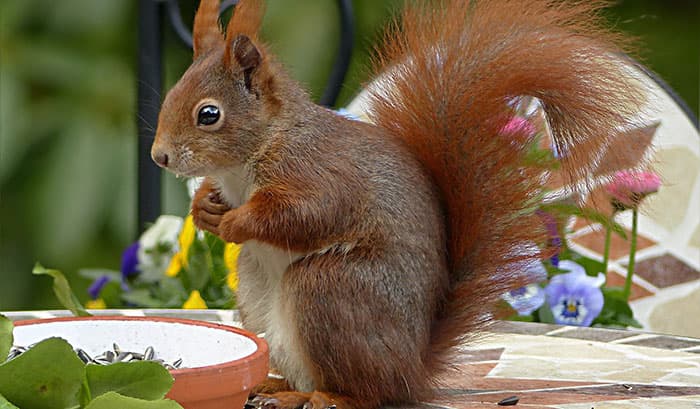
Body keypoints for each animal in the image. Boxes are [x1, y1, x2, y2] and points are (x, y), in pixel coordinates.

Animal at [151, 0, 645, 408]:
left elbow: (307, 215)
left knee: (368, 393)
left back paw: (328, 397)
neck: (252, 155)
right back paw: (277, 387)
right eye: (170, 96)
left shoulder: (319, 173)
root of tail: (412, 369)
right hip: (258, 292)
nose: (160, 157)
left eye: (209, 114)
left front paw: (236, 223)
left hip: (330, 289)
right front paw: (206, 209)